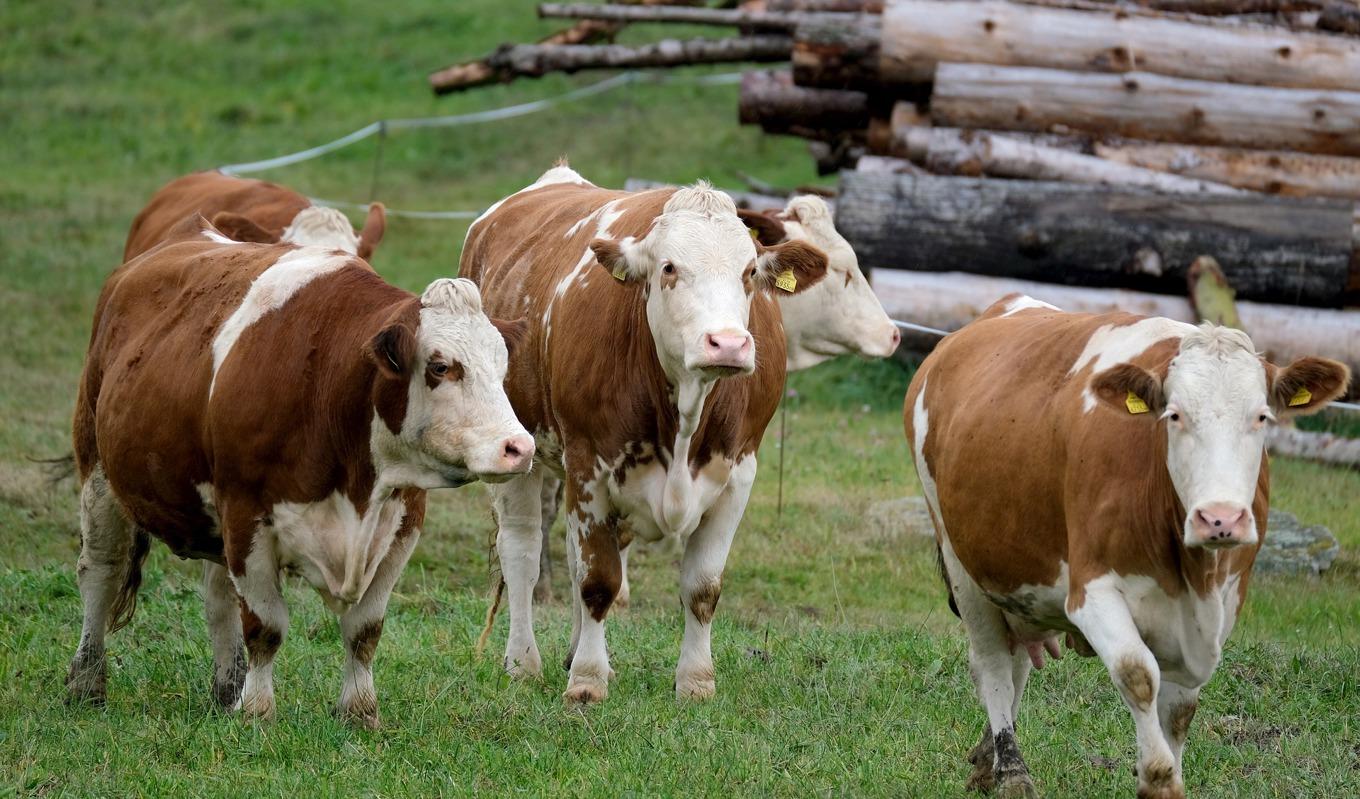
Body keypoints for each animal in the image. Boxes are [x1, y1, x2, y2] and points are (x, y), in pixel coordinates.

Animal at [67, 214, 530, 728]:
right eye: (441, 366)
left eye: (503, 366)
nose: (518, 447)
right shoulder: (246, 516)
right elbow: (265, 625)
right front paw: (257, 712)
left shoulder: (403, 523)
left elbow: (365, 629)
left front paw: (358, 710)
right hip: (99, 472)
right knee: (100, 572)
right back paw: (87, 683)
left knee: (217, 596)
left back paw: (226, 689)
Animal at [459, 165, 826, 701]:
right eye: (669, 267)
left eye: (749, 273)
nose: (728, 344)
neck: (686, 413)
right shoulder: (588, 466)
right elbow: (597, 581)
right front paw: (587, 682)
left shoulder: (739, 473)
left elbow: (702, 588)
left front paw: (695, 681)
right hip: (518, 453)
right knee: (523, 551)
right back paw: (524, 662)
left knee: (568, 554)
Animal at [903, 294, 1349, 799]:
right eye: (1174, 415)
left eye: (1261, 417)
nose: (1220, 519)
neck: (1192, 577)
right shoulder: (1092, 593)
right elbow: (1139, 675)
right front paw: (1157, 775)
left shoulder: (1223, 604)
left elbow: (1180, 709)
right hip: (961, 562)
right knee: (994, 664)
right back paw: (1011, 771)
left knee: (1017, 664)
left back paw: (986, 761)